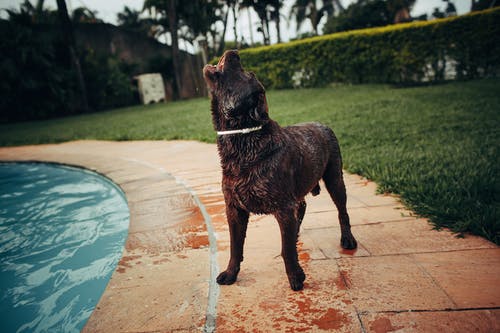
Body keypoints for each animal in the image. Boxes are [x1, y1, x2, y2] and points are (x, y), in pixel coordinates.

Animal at [201, 49, 358, 290]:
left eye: (247, 75)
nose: (235, 52)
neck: (244, 140)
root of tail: (322, 124)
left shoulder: (283, 208)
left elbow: (287, 251)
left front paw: (295, 276)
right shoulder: (234, 209)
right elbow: (236, 248)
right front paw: (230, 273)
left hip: (335, 179)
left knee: (342, 211)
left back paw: (347, 239)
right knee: (302, 208)